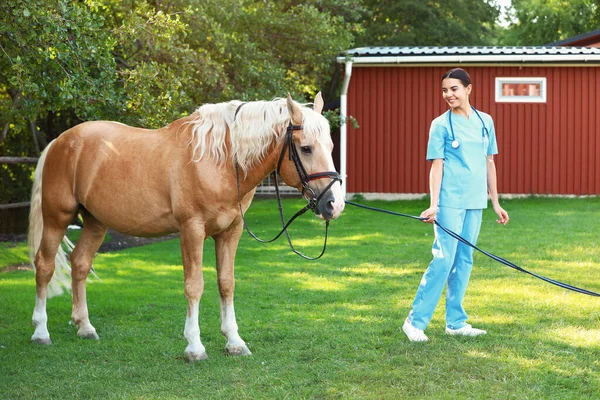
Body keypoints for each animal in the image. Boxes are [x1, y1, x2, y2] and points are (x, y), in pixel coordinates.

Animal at [28, 93, 344, 360]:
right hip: (57, 218)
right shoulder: (192, 230)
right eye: (305, 148)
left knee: (80, 263)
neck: (220, 161)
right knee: (44, 266)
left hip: (96, 223)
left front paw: (234, 342)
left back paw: (85, 326)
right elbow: (195, 286)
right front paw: (194, 346)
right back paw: (41, 331)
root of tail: (60, 141)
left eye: (330, 146)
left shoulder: (230, 232)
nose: (335, 204)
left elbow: (226, 283)